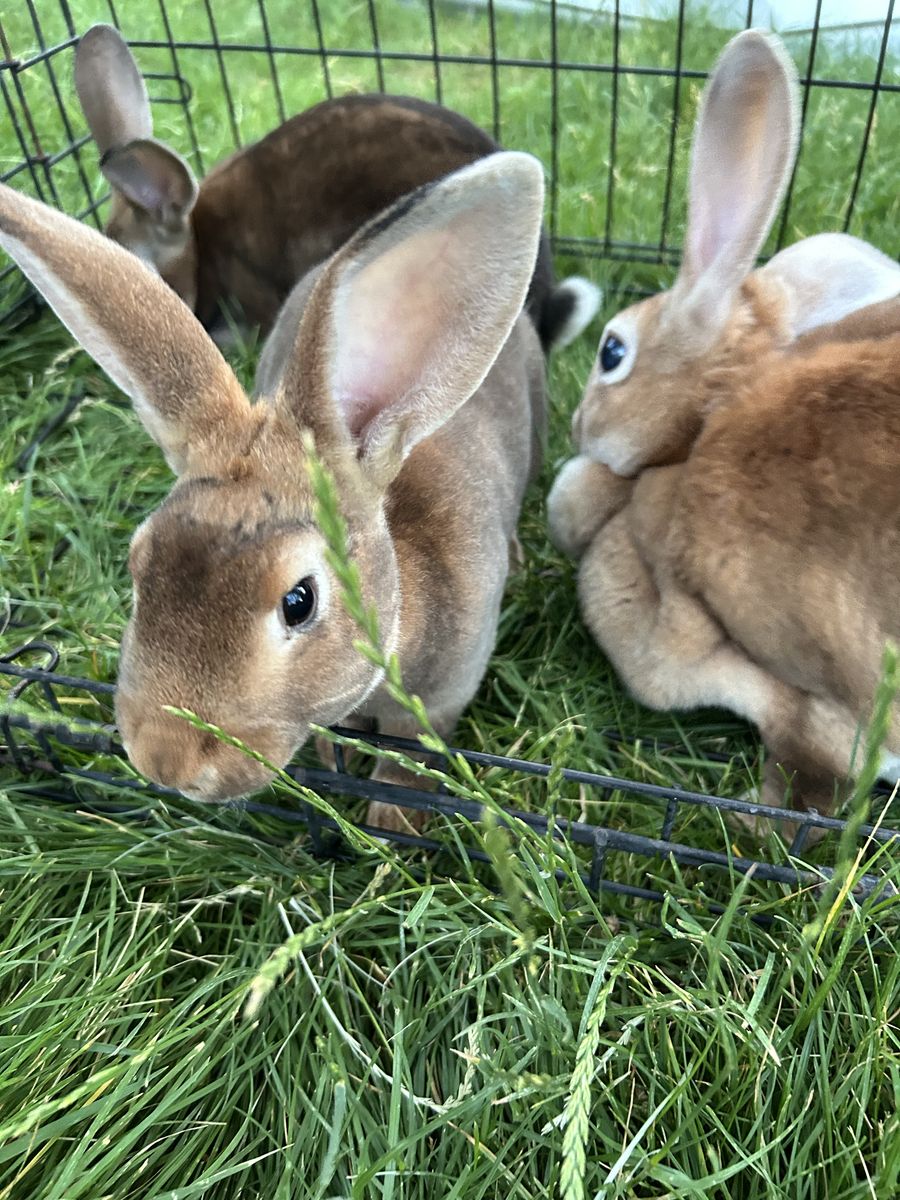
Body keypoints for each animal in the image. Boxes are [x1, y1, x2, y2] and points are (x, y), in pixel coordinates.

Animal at [0, 151, 548, 833]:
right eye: (138, 564)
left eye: (299, 601)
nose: (166, 761)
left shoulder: (442, 698)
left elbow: (411, 755)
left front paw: (390, 820)